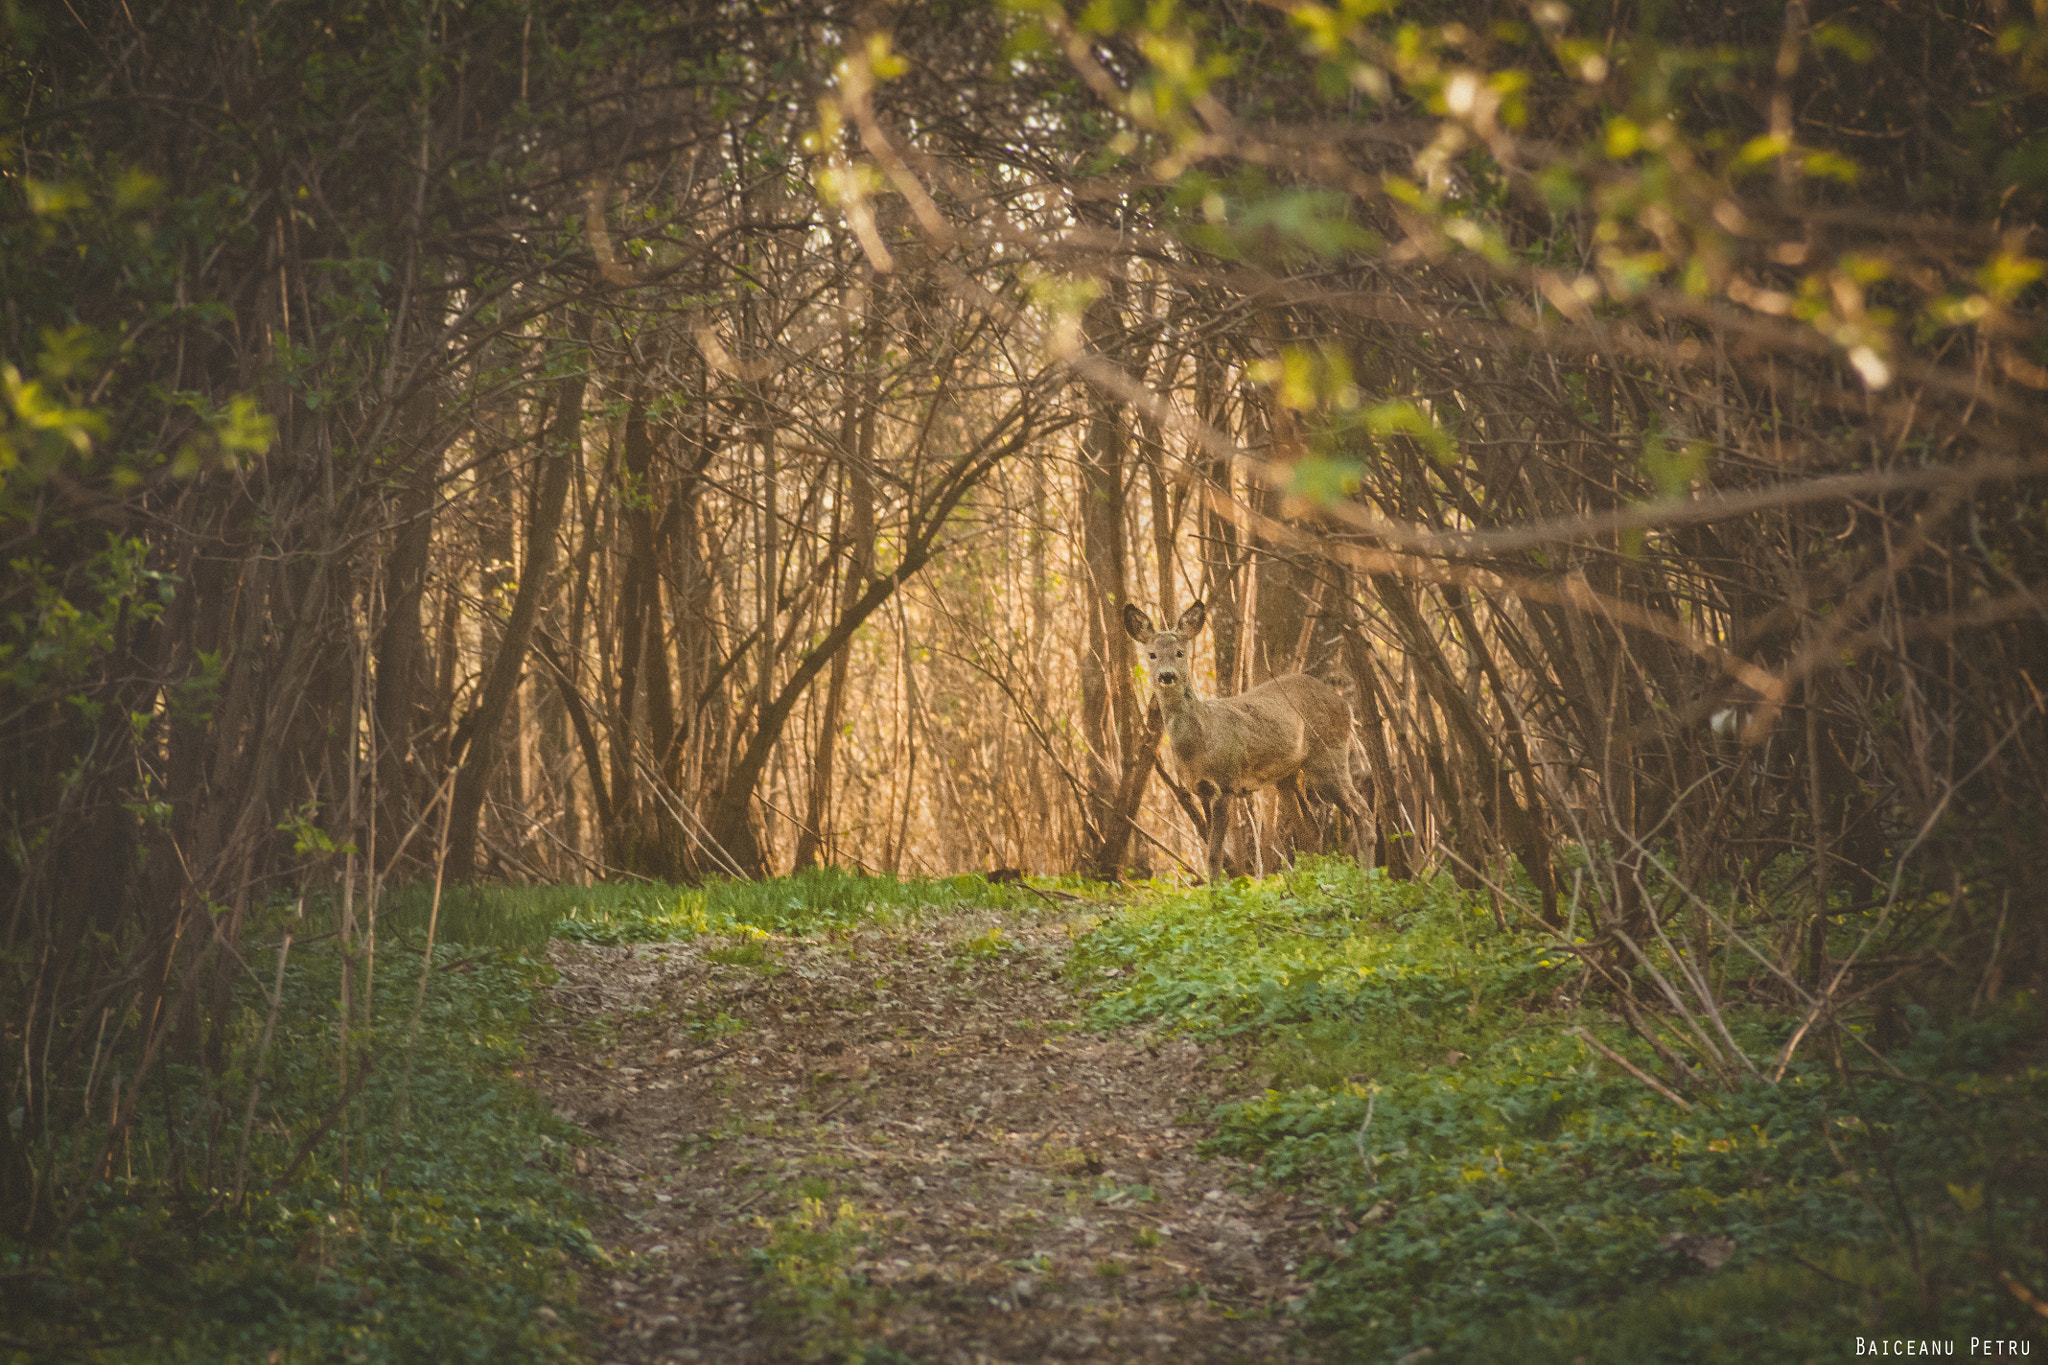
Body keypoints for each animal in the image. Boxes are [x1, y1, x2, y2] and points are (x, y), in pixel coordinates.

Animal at [1123, 599, 1371, 884]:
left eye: (1179, 652)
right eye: (1152, 654)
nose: (1166, 676)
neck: (1200, 740)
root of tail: (1345, 705)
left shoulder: (1225, 782)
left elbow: (1215, 853)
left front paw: (1216, 890)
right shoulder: (1200, 789)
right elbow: (1210, 847)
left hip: (1329, 755)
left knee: (1361, 811)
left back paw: (1366, 875)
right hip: (1288, 776)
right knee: (1310, 828)